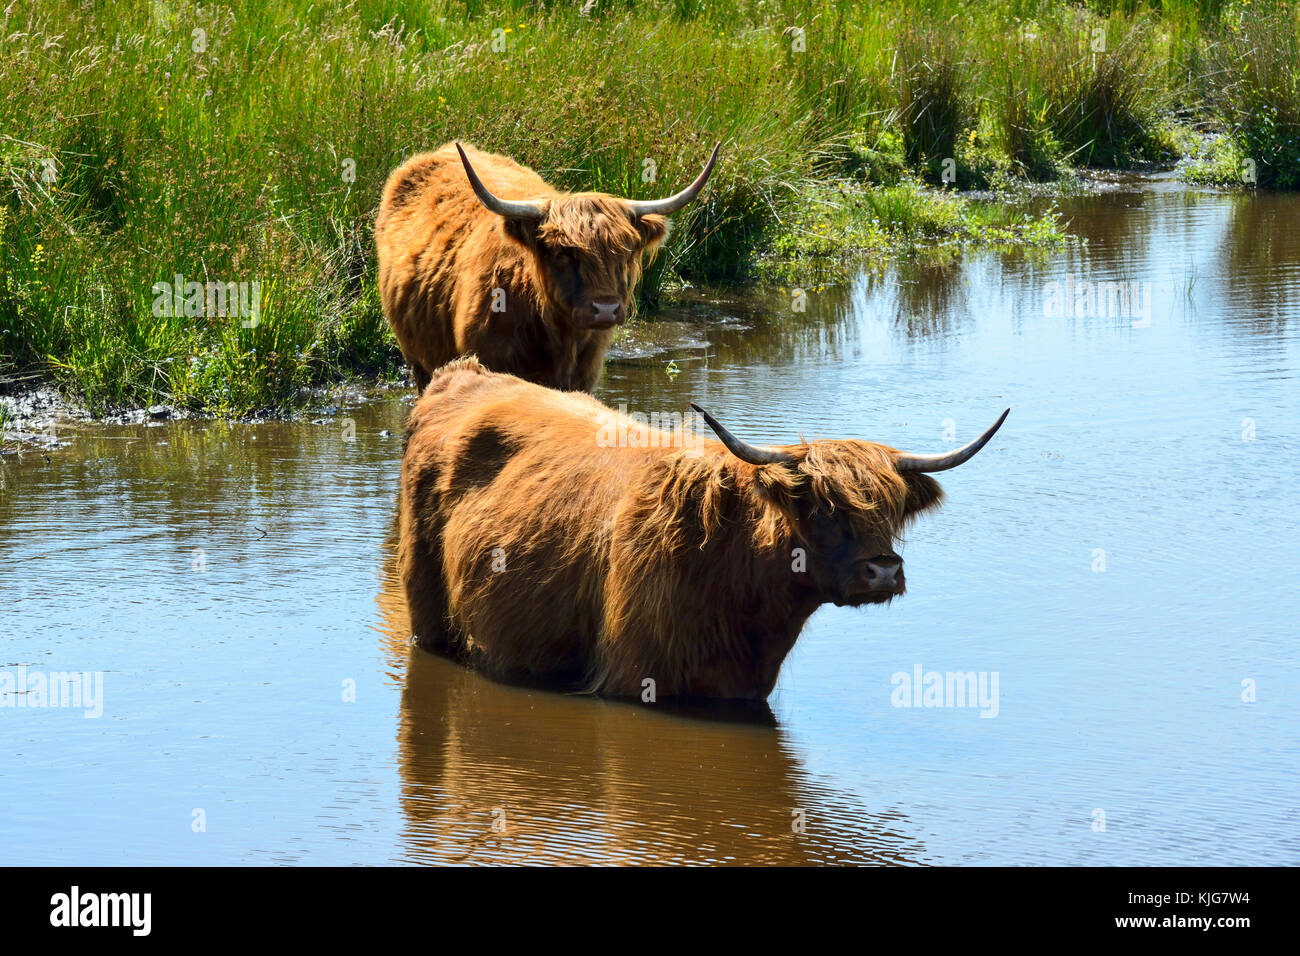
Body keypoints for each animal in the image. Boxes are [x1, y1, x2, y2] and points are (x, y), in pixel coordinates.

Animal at [400, 358, 1008, 702]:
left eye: (890, 509)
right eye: (821, 507)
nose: (882, 571)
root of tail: (463, 375)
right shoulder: (634, 678)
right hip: (426, 608)